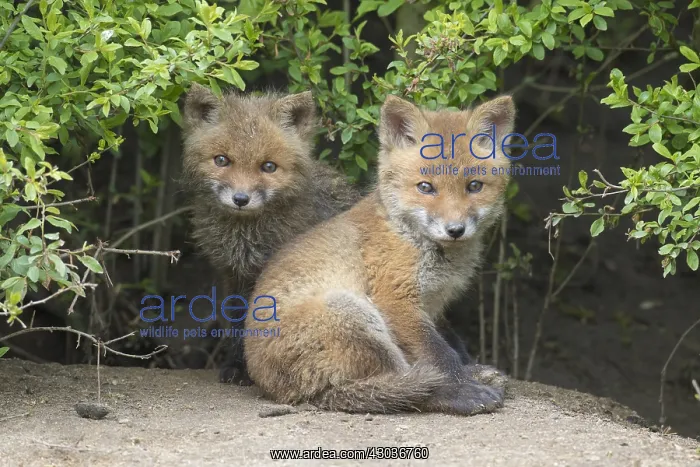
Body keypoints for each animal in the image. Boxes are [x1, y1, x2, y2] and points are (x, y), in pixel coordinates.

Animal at [181, 84, 360, 384]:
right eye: (222, 160)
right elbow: (239, 326)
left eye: (268, 166)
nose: (240, 199)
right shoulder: (234, 276)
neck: (247, 242)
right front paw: (237, 367)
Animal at [244, 94, 516, 414]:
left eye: (474, 186)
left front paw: (469, 373)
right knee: (403, 385)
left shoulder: (430, 305)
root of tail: (285, 391)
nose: (455, 229)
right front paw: (461, 385)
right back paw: (454, 394)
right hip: (351, 312)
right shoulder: (396, 300)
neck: (411, 238)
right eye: (426, 187)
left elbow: (437, 353)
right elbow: (440, 355)